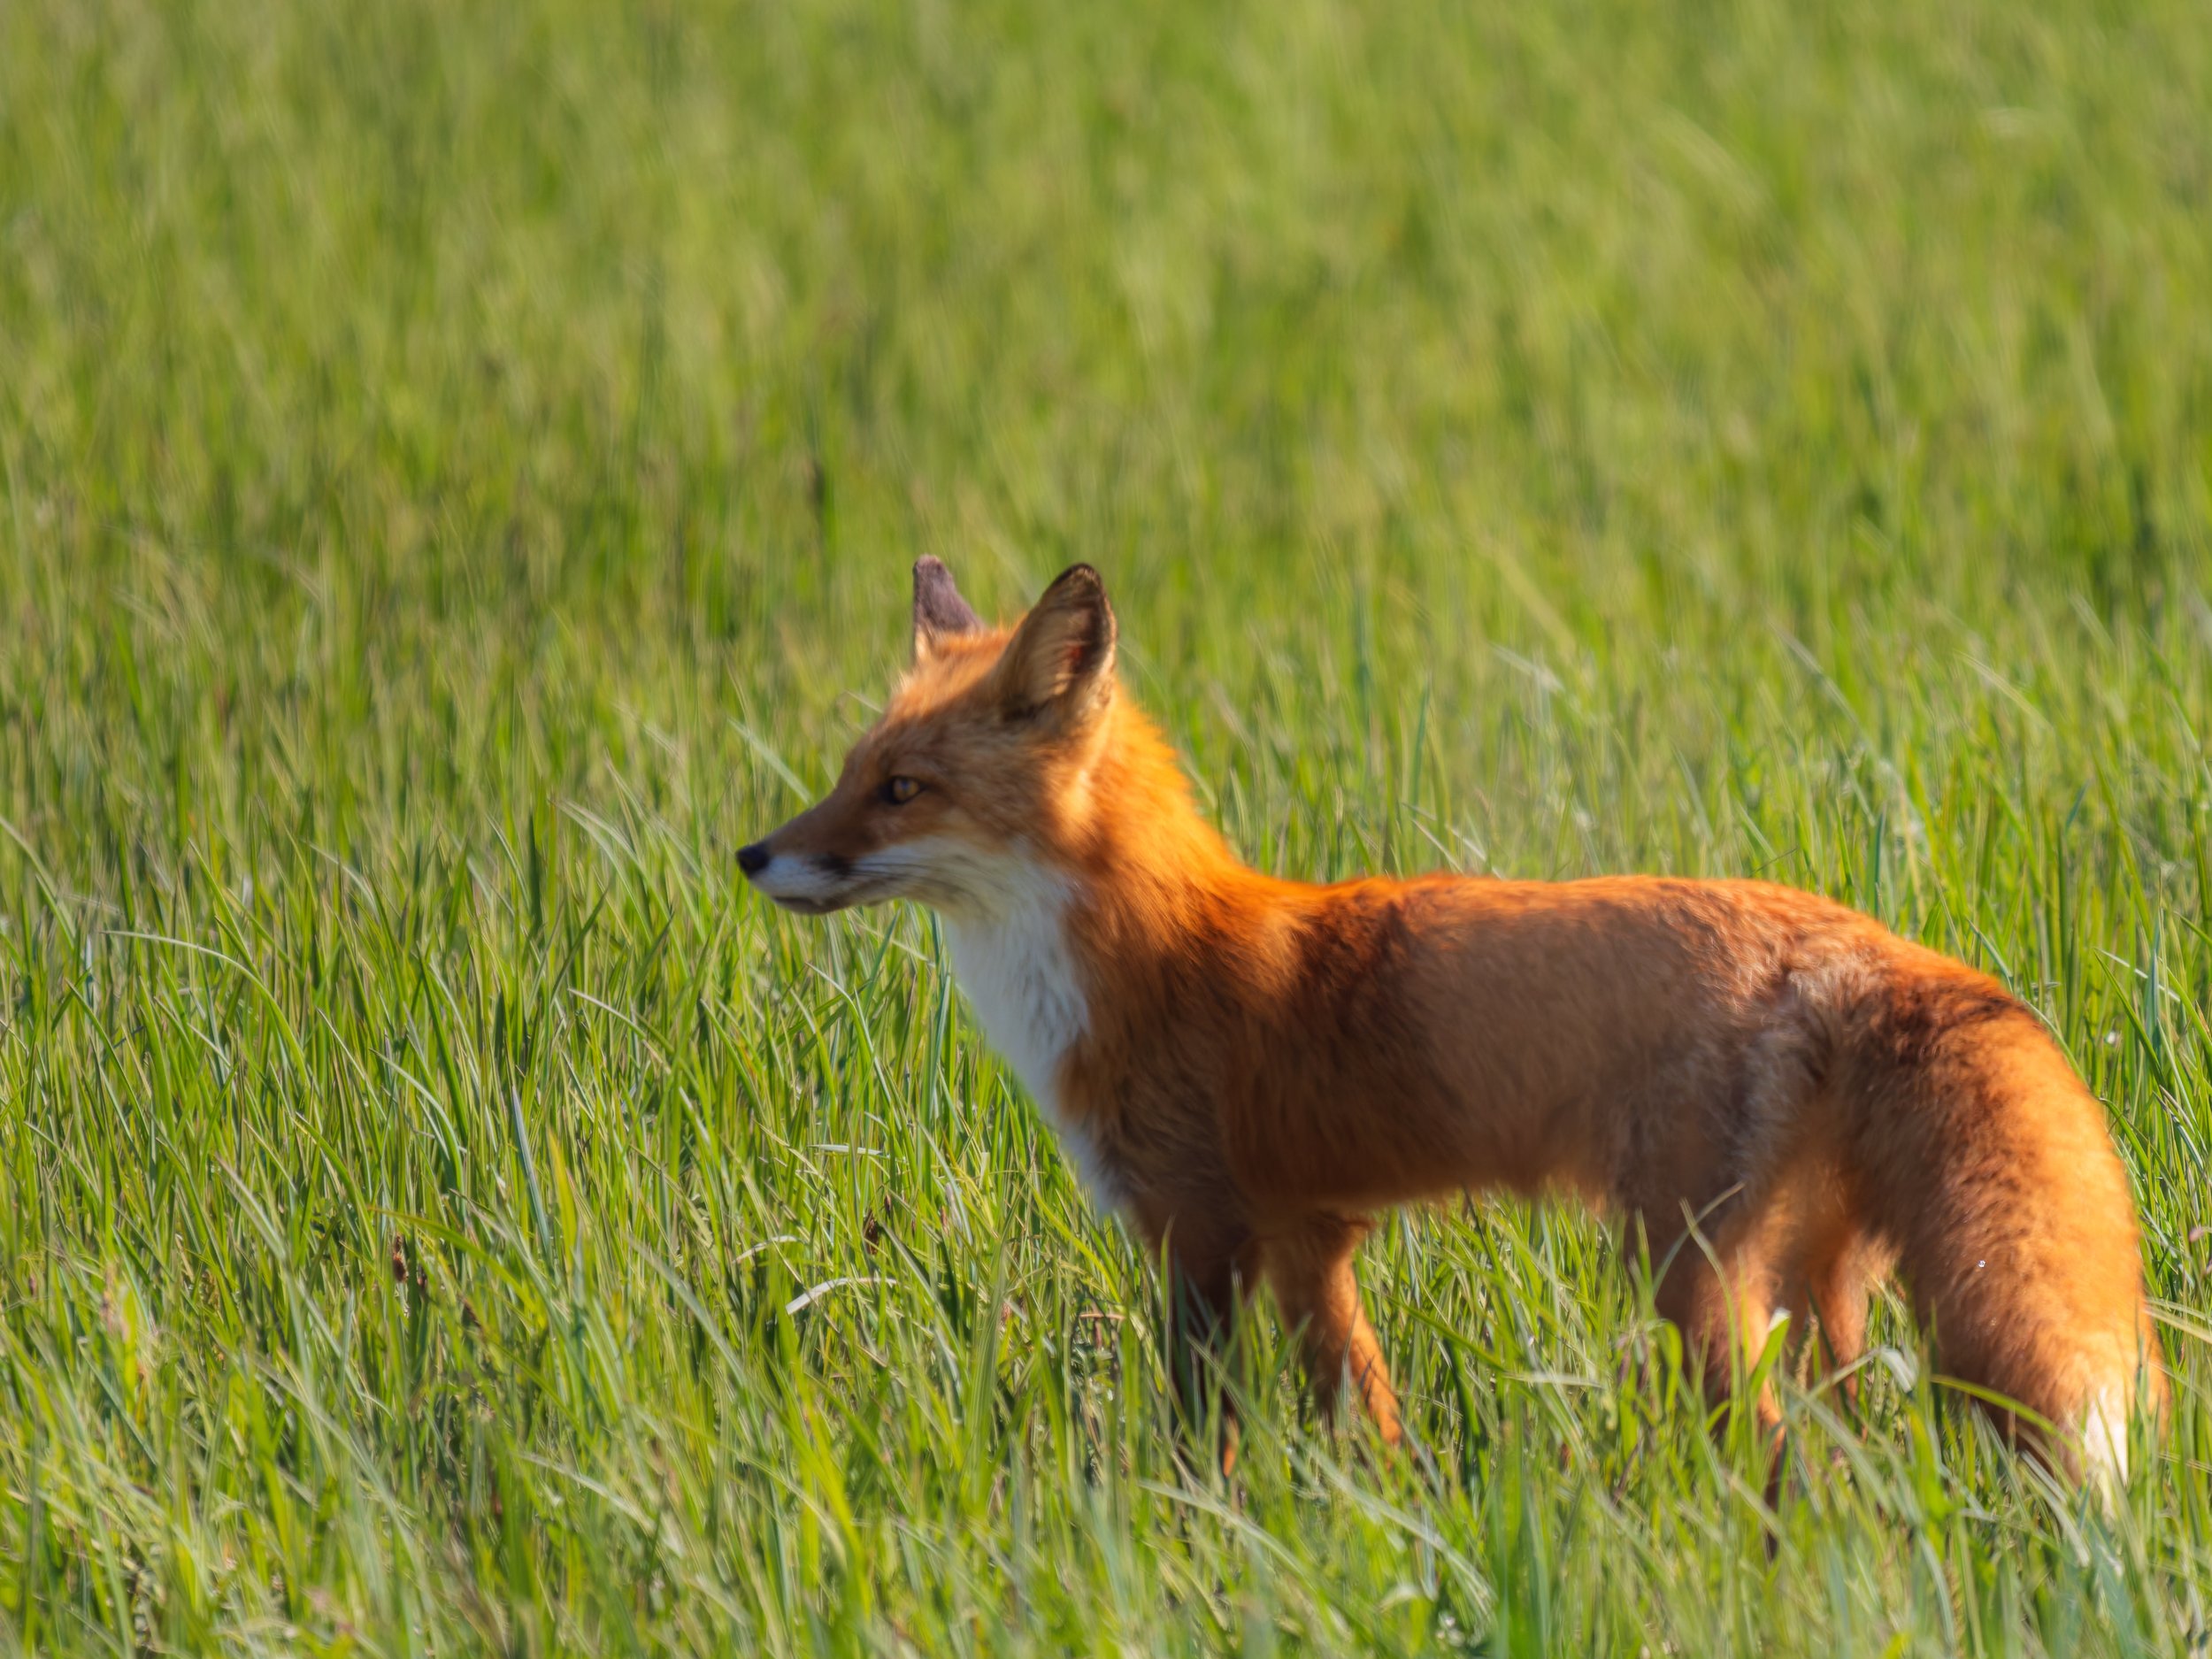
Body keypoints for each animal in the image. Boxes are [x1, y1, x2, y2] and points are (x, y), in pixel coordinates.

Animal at [740, 557, 2166, 1487]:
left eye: (902, 789)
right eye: (847, 774)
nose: (751, 855)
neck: (1145, 963)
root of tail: (1861, 939)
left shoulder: (1199, 1232)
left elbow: (1198, 1442)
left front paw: (1187, 1536)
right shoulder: (1308, 1243)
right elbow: (1366, 1421)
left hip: (1692, 1278)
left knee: (1777, 1462)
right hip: (1816, 1289)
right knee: (1852, 1454)